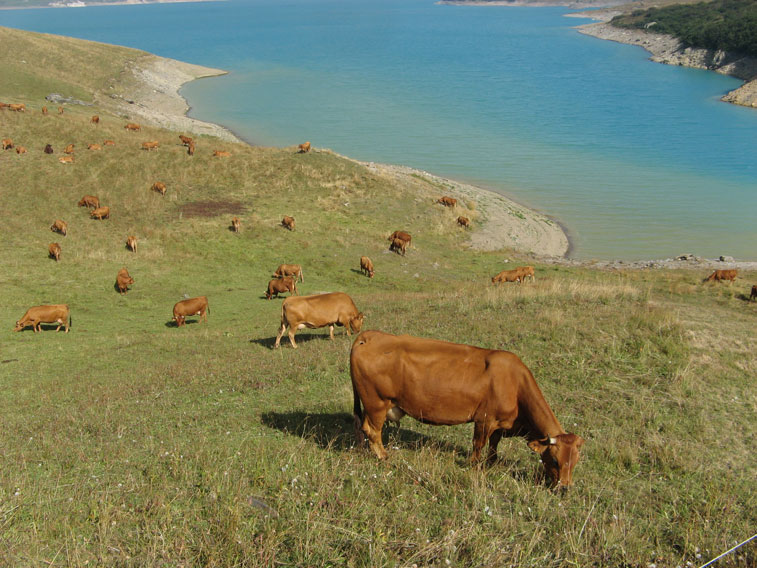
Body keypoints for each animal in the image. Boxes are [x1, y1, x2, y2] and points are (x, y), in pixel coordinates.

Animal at [350, 332, 584, 488]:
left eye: (575, 461)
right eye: (555, 460)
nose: (565, 488)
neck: (514, 383)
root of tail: (369, 336)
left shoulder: (499, 424)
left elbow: (494, 445)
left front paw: (491, 462)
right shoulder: (484, 419)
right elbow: (478, 445)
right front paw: (474, 465)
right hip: (376, 403)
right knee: (372, 430)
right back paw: (384, 457)